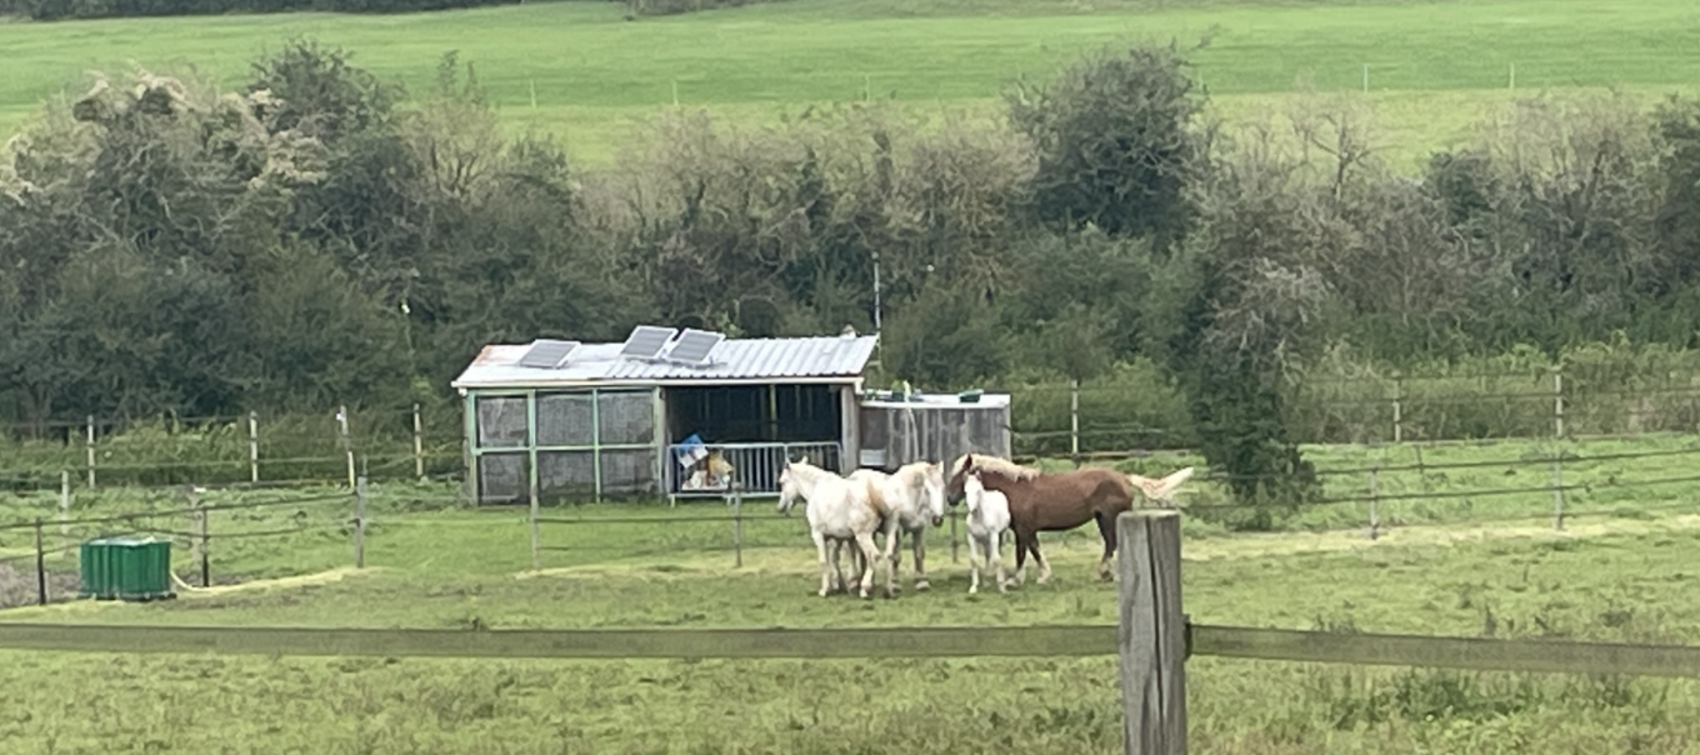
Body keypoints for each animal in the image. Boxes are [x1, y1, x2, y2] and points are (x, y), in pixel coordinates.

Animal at [776, 456, 888, 599]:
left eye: (782, 482)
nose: (780, 508)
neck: (816, 488)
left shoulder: (818, 534)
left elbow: (824, 561)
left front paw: (825, 590)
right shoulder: (837, 537)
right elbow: (835, 559)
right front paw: (841, 585)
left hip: (863, 535)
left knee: (874, 555)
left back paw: (864, 589)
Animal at [846, 460, 949, 594]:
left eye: (943, 488)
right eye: (927, 490)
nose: (938, 519)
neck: (909, 498)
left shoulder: (919, 529)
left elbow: (919, 553)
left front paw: (922, 582)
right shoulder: (898, 530)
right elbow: (896, 557)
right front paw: (895, 584)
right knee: (853, 552)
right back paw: (855, 583)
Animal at [945, 453, 1195, 584]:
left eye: (960, 474)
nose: (950, 498)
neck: (1016, 489)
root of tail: (1123, 477)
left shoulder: (1023, 530)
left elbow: (1023, 553)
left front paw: (1017, 579)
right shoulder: (1028, 530)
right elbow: (1035, 550)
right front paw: (1043, 575)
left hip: (1109, 518)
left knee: (1112, 544)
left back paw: (1106, 572)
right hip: (1103, 519)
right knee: (1111, 544)